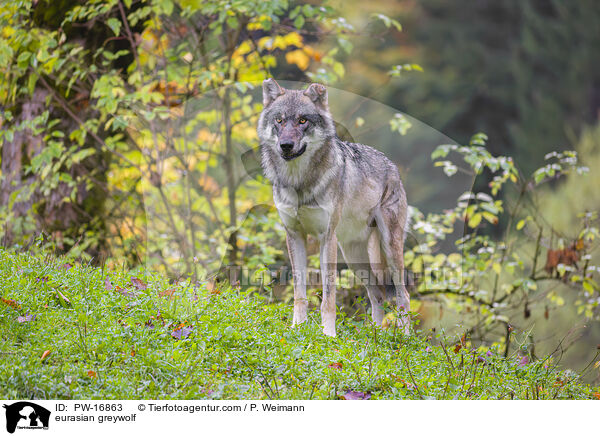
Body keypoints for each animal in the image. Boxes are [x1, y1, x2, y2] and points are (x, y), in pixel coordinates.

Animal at [255, 79, 410, 338]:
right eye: (279, 120)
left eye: (302, 121)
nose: (285, 145)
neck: (299, 183)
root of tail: (392, 165)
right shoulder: (294, 236)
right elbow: (299, 293)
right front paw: (297, 328)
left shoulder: (326, 237)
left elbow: (328, 297)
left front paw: (328, 334)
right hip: (353, 256)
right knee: (376, 294)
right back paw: (375, 335)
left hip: (388, 247)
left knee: (402, 294)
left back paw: (406, 338)